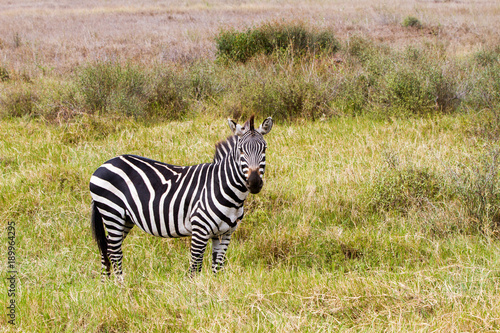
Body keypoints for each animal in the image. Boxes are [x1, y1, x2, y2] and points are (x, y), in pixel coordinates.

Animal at [88, 115, 272, 278]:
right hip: (112, 212)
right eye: (241, 150)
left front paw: (214, 290)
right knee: (114, 251)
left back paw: (106, 285)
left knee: (107, 247)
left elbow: (217, 268)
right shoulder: (200, 229)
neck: (226, 190)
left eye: (264, 149)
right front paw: (195, 292)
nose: (254, 183)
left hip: (125, 219)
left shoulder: (225, 234)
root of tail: (104, 164)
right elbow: (195, 268)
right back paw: (120, 285)